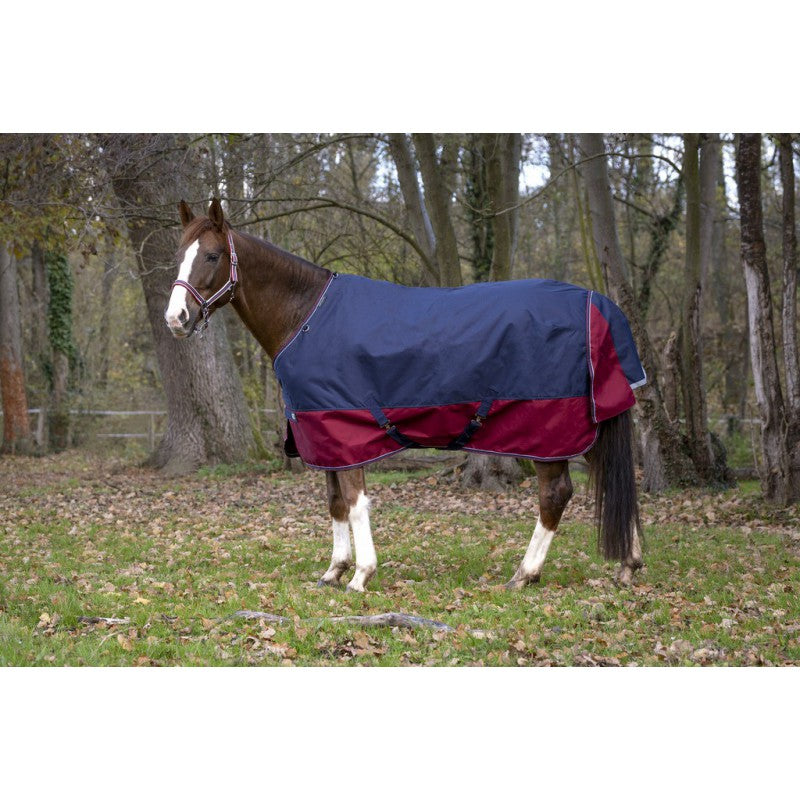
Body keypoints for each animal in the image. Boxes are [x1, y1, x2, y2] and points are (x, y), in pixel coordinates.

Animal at [165, 198, 645, 592]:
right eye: (178, 256)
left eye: (211, 255)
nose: (176, 318)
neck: (306, 317)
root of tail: (596, 304)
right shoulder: (321, 433)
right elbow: (334, 503)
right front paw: (334, 570)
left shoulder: (345, 432)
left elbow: (355, 502)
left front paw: (361, 575)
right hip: (589, 428)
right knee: (613, 478)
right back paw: (629, 565)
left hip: (548, 434)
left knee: (555, 494)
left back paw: (525, 574)